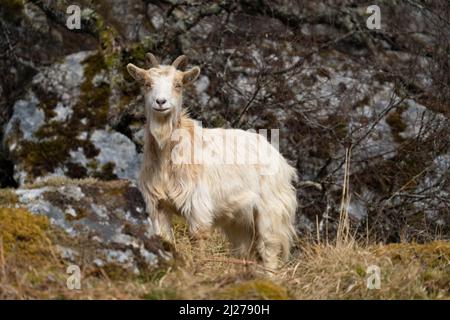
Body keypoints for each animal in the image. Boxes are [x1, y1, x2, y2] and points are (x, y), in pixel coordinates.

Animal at [125, 53, 298, 270]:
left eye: (178, 85)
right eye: (147, 84)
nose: (160, 102)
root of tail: (281, 160)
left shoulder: (197, 206)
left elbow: (197, 240)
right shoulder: (158, 205)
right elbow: (164, 238)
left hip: (271, 211)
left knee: (269, 248)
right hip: (240, 221)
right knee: (246, 251)